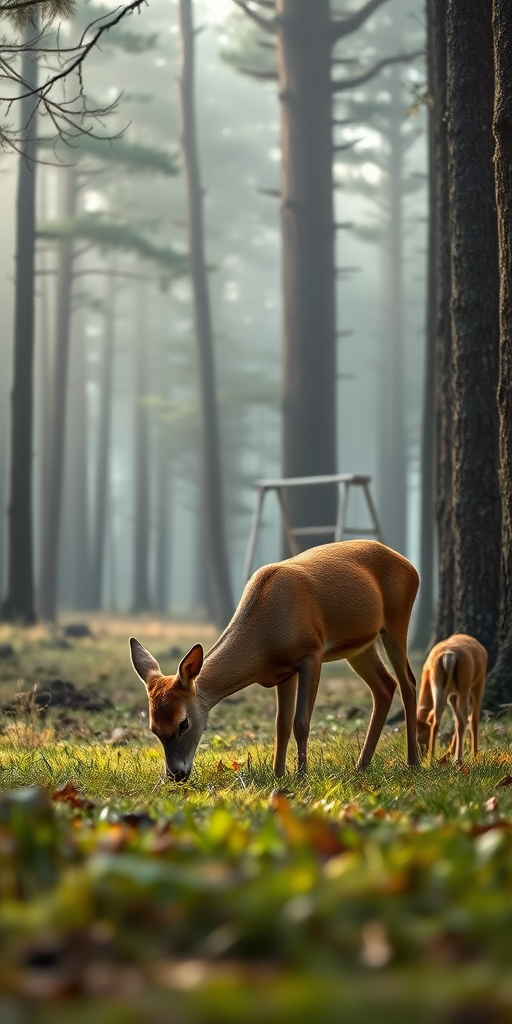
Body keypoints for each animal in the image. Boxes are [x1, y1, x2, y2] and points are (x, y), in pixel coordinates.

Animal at [130, 539, 420, 782]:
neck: (265, 639)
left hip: (396, 620)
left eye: (184, 723)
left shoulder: (312, 652)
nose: (175, 775)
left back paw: (414, 763)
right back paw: (361, 766)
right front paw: (279, 775)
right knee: (385, 687)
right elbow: (281, 725)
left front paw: (302, 777)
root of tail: (411, 567)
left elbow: (301, 722)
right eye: (153, 728)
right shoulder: (284, 671)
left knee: (408, 683)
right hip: (360, 647)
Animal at [416, 634, 487, 764]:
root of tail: (449, 656)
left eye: (422, 735)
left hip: (441, 686)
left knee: (441, 719)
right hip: (468, 684)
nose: (421, 754)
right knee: (467, 718)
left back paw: (432, 759)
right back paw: (463, 758)